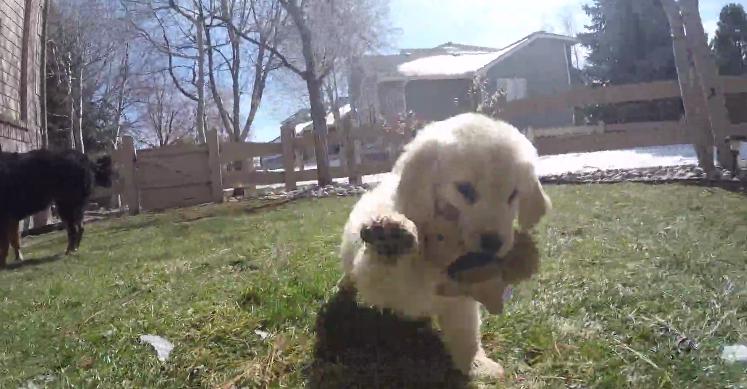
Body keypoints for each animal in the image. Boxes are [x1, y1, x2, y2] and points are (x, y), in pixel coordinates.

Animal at [338, 112, 548, 378]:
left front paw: (477, 364)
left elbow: (466, 332)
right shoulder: (383, 282)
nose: (494, 243)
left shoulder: (460, 300)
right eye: (465, 189)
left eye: (513, 195)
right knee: (350, 275)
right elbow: (385, 270)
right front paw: (391, 238)